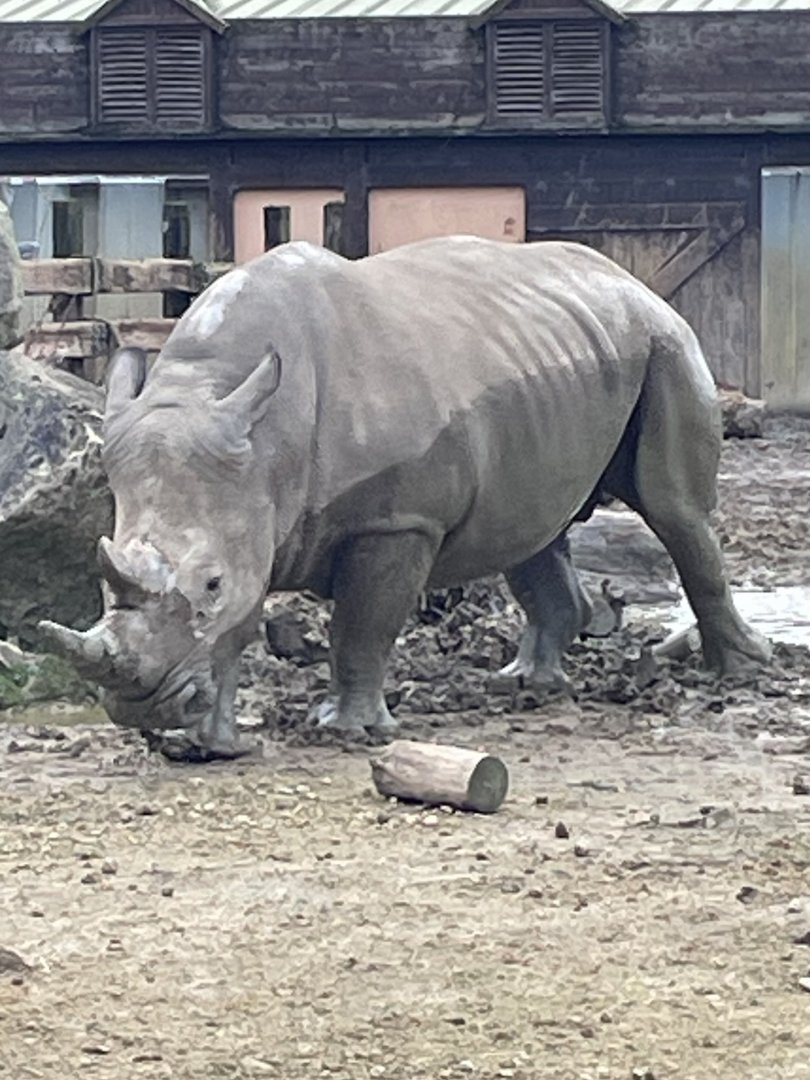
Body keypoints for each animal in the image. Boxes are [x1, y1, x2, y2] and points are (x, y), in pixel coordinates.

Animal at [39, 236, 771, 757]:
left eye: (211, 583)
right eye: (102, 584)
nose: (143, 708)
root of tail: (629, 280)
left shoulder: (397, 522)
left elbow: (361, 626)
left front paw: (347, 733)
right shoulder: (246, 499)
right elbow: (236, 631)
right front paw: (205, 748)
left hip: (666, 342)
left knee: (677, 512)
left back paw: (739, 673)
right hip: (554, 357)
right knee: (531, 530)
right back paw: (524, 686)